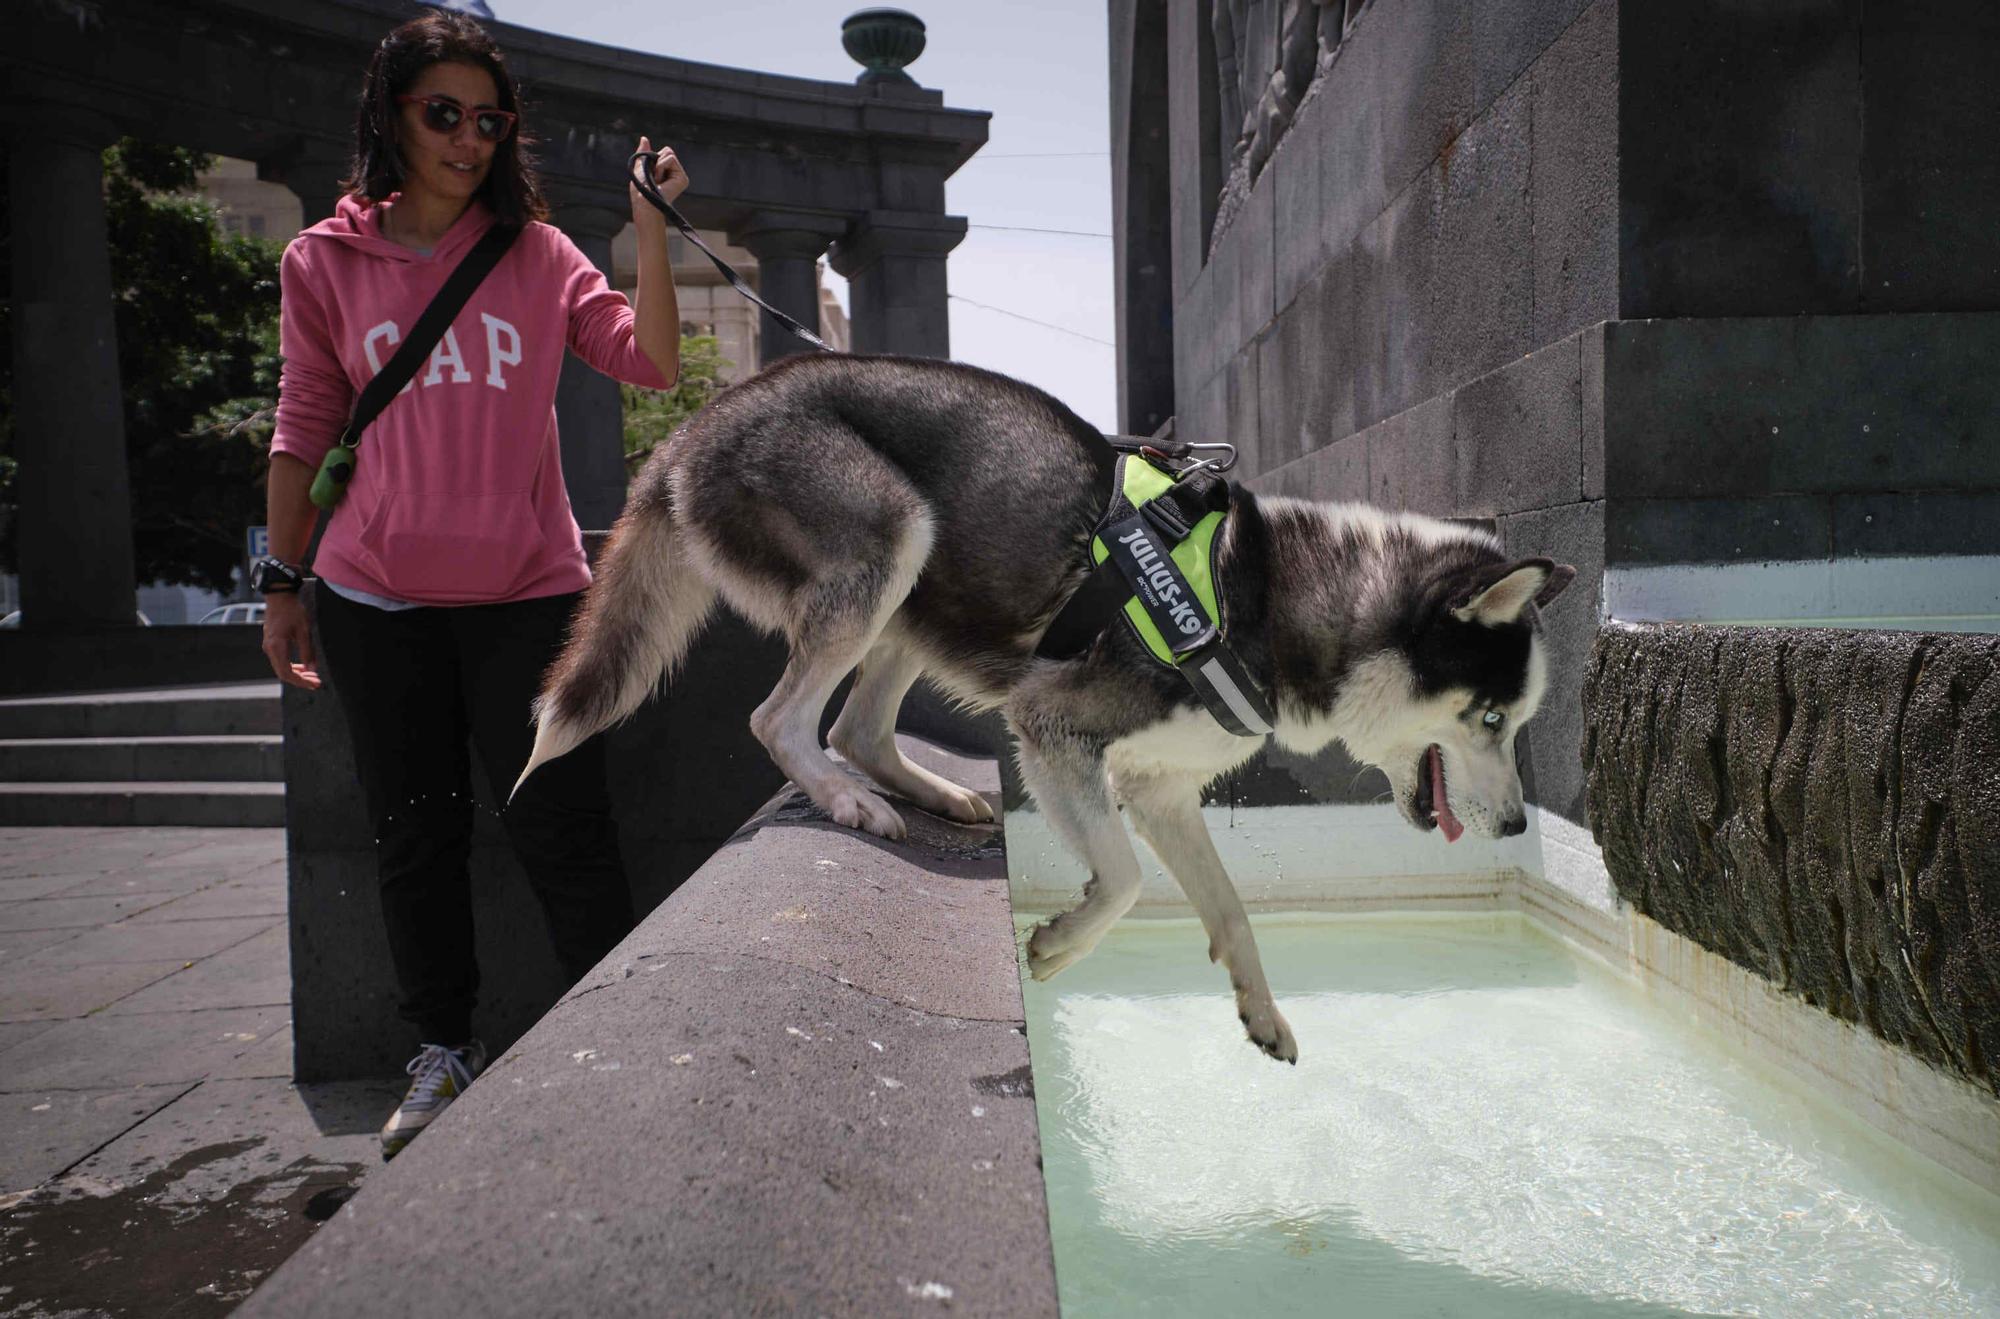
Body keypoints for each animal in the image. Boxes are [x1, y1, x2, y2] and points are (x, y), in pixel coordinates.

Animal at [520, 355, 1576, 1063]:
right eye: (1490, 718)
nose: (1517, 826)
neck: (1265, 593)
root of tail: (697, 423)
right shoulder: (1056, 727)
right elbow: (1123, 882)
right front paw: (1058, 945)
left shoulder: (1161, 791)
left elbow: (1229, 905)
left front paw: (1261, 1009)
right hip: (890, 540)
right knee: (780, 720)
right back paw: (845, 797)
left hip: (916, 598)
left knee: (859, 725)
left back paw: (932, 792)